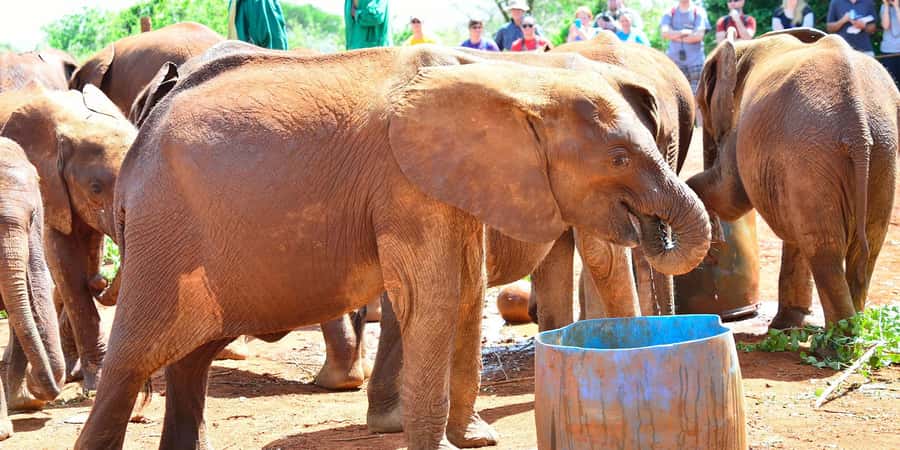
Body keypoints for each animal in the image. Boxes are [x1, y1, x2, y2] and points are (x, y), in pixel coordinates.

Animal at [0, 84, 137, 391]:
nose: (101, 281)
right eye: (96, 188)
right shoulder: (50, 188)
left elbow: (88, 253)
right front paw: (96, 381)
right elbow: (66, 267)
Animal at [73, 45, 710, 450]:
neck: (515, 79)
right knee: (134, 359)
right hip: (164, 235)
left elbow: (463, 292)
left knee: (191, 360)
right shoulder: (405, 183)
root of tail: (137, 146)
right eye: (619, 158)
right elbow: (436, 297)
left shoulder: (452, 181)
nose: (656, 228)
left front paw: (474, 439)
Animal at [687, 29, 898, 328]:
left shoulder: (741, 126)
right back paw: (848, 330)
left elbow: (731, 196)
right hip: (881, 151)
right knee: (866, 245)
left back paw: (835, 339)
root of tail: (857, 126)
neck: (745, 45)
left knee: (825, 249)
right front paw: (787, 326)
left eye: (701, 105)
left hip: (814, 150)